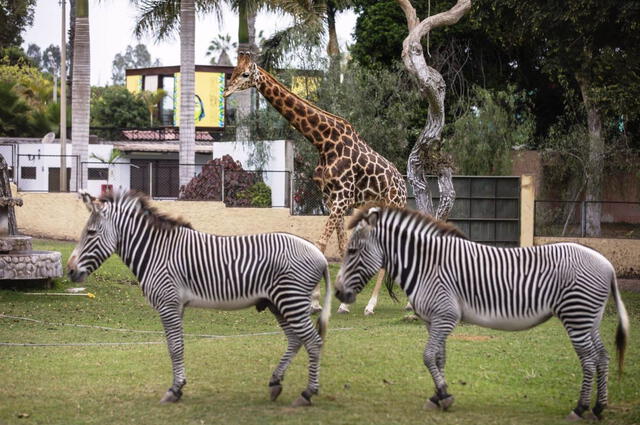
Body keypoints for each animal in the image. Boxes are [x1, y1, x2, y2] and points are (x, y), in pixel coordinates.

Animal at [67, 190, 332, 406]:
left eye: (90, 233)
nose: (69, 271)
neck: (156, 252)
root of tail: (320, 255)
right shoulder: (177, 305)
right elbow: (177, 345)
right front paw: (179, 386)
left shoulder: (168, 303)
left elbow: (174, 347)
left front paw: (174, 390)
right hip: (278, 303)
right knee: (296, 340)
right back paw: (276, 383)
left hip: (291, 301)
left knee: (313, 341)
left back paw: (307, 393)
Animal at [222, 52, 408, 314]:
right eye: (233, 72)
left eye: (246, 74)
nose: (226, 91)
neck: (323, 142)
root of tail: (403, 185)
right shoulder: (333, 199)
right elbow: (341, 246)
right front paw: (335, 302)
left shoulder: (341, 197)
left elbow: (320, 244)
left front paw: (314, 301)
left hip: (392, 206)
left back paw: (374, 306)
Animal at [336, 204, 632, 420]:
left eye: (352, 251)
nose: (338, 294)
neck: (426, 265)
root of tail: (607, 264)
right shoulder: (434, 320)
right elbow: (439, 358)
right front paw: (438, 396)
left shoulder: (446, 316)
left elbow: (428, 356)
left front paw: (444, 395)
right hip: (589, 319)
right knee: (602, 357)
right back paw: (599, 408)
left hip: (577, 316)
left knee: (589, 360)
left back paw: (580, 409)